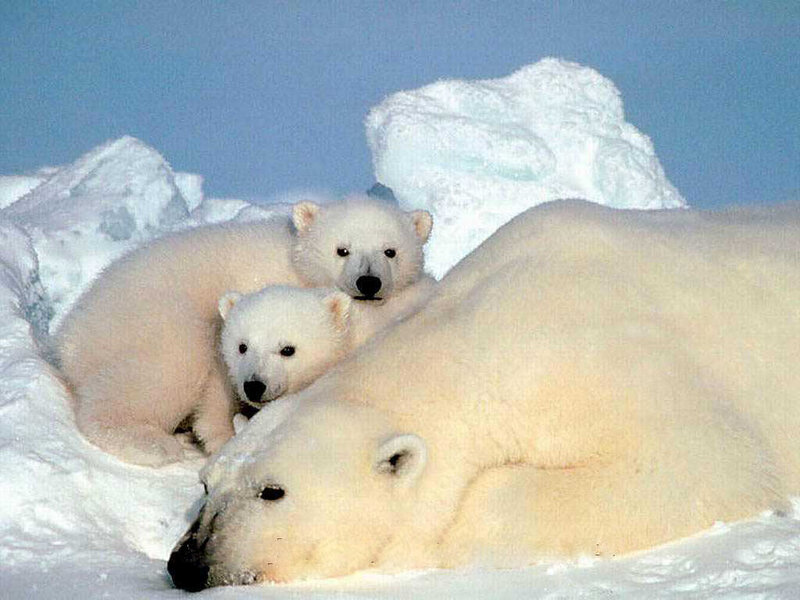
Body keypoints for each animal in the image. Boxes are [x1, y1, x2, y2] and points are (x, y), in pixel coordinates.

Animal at [55, 194, 434, 466]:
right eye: (342, 250)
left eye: (390, 251)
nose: (368, 282)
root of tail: (71, 335)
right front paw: (223, 435)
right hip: (148, 319)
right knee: (166, 366)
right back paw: (150, 443)